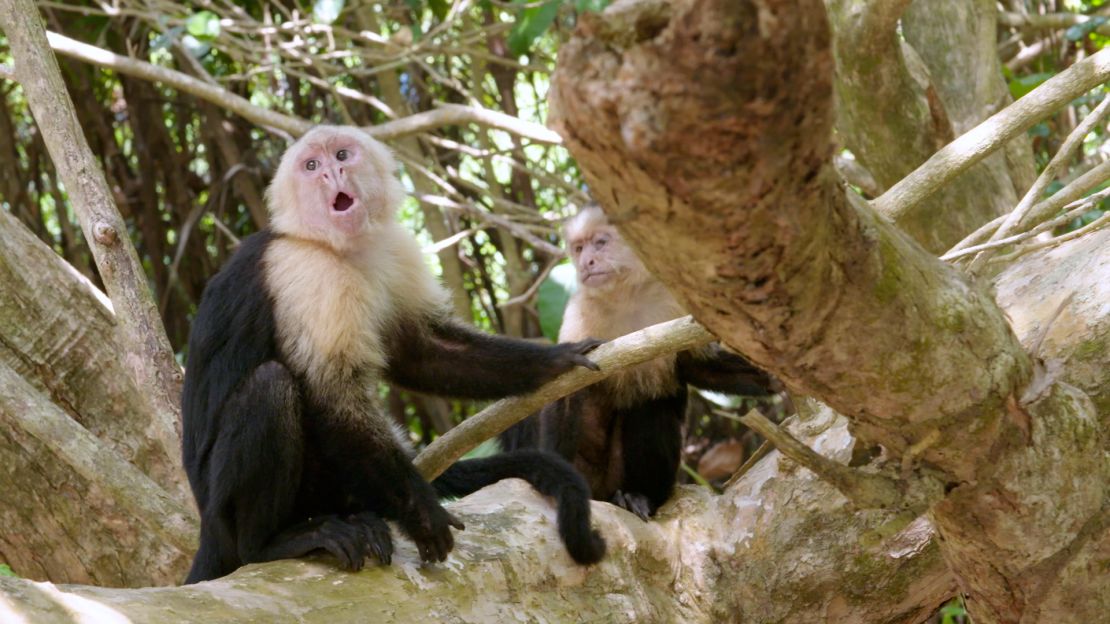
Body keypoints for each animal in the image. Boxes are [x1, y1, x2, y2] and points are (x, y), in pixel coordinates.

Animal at [185, 126, 612, 581]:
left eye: (342, 155)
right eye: (311, 166)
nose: (331, 173)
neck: (338, 246)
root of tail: (207, 533)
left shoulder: (395, 249)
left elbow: (420, 352)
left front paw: (554, 362)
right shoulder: (309, 271)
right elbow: (333, 398)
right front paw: (425, 516)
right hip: (221, 516)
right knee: (270, 387)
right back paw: (270, 543)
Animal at [499, 206, 777, 517]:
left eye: (600, 243)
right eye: (579, 248)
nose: (586, 262)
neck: (626, 297)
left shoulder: (671, 303)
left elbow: (694, 365)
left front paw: (770, 378)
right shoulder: (579, 311)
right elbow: (568, 390)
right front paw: (554, 477)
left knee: (652, 404)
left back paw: (640, 497)